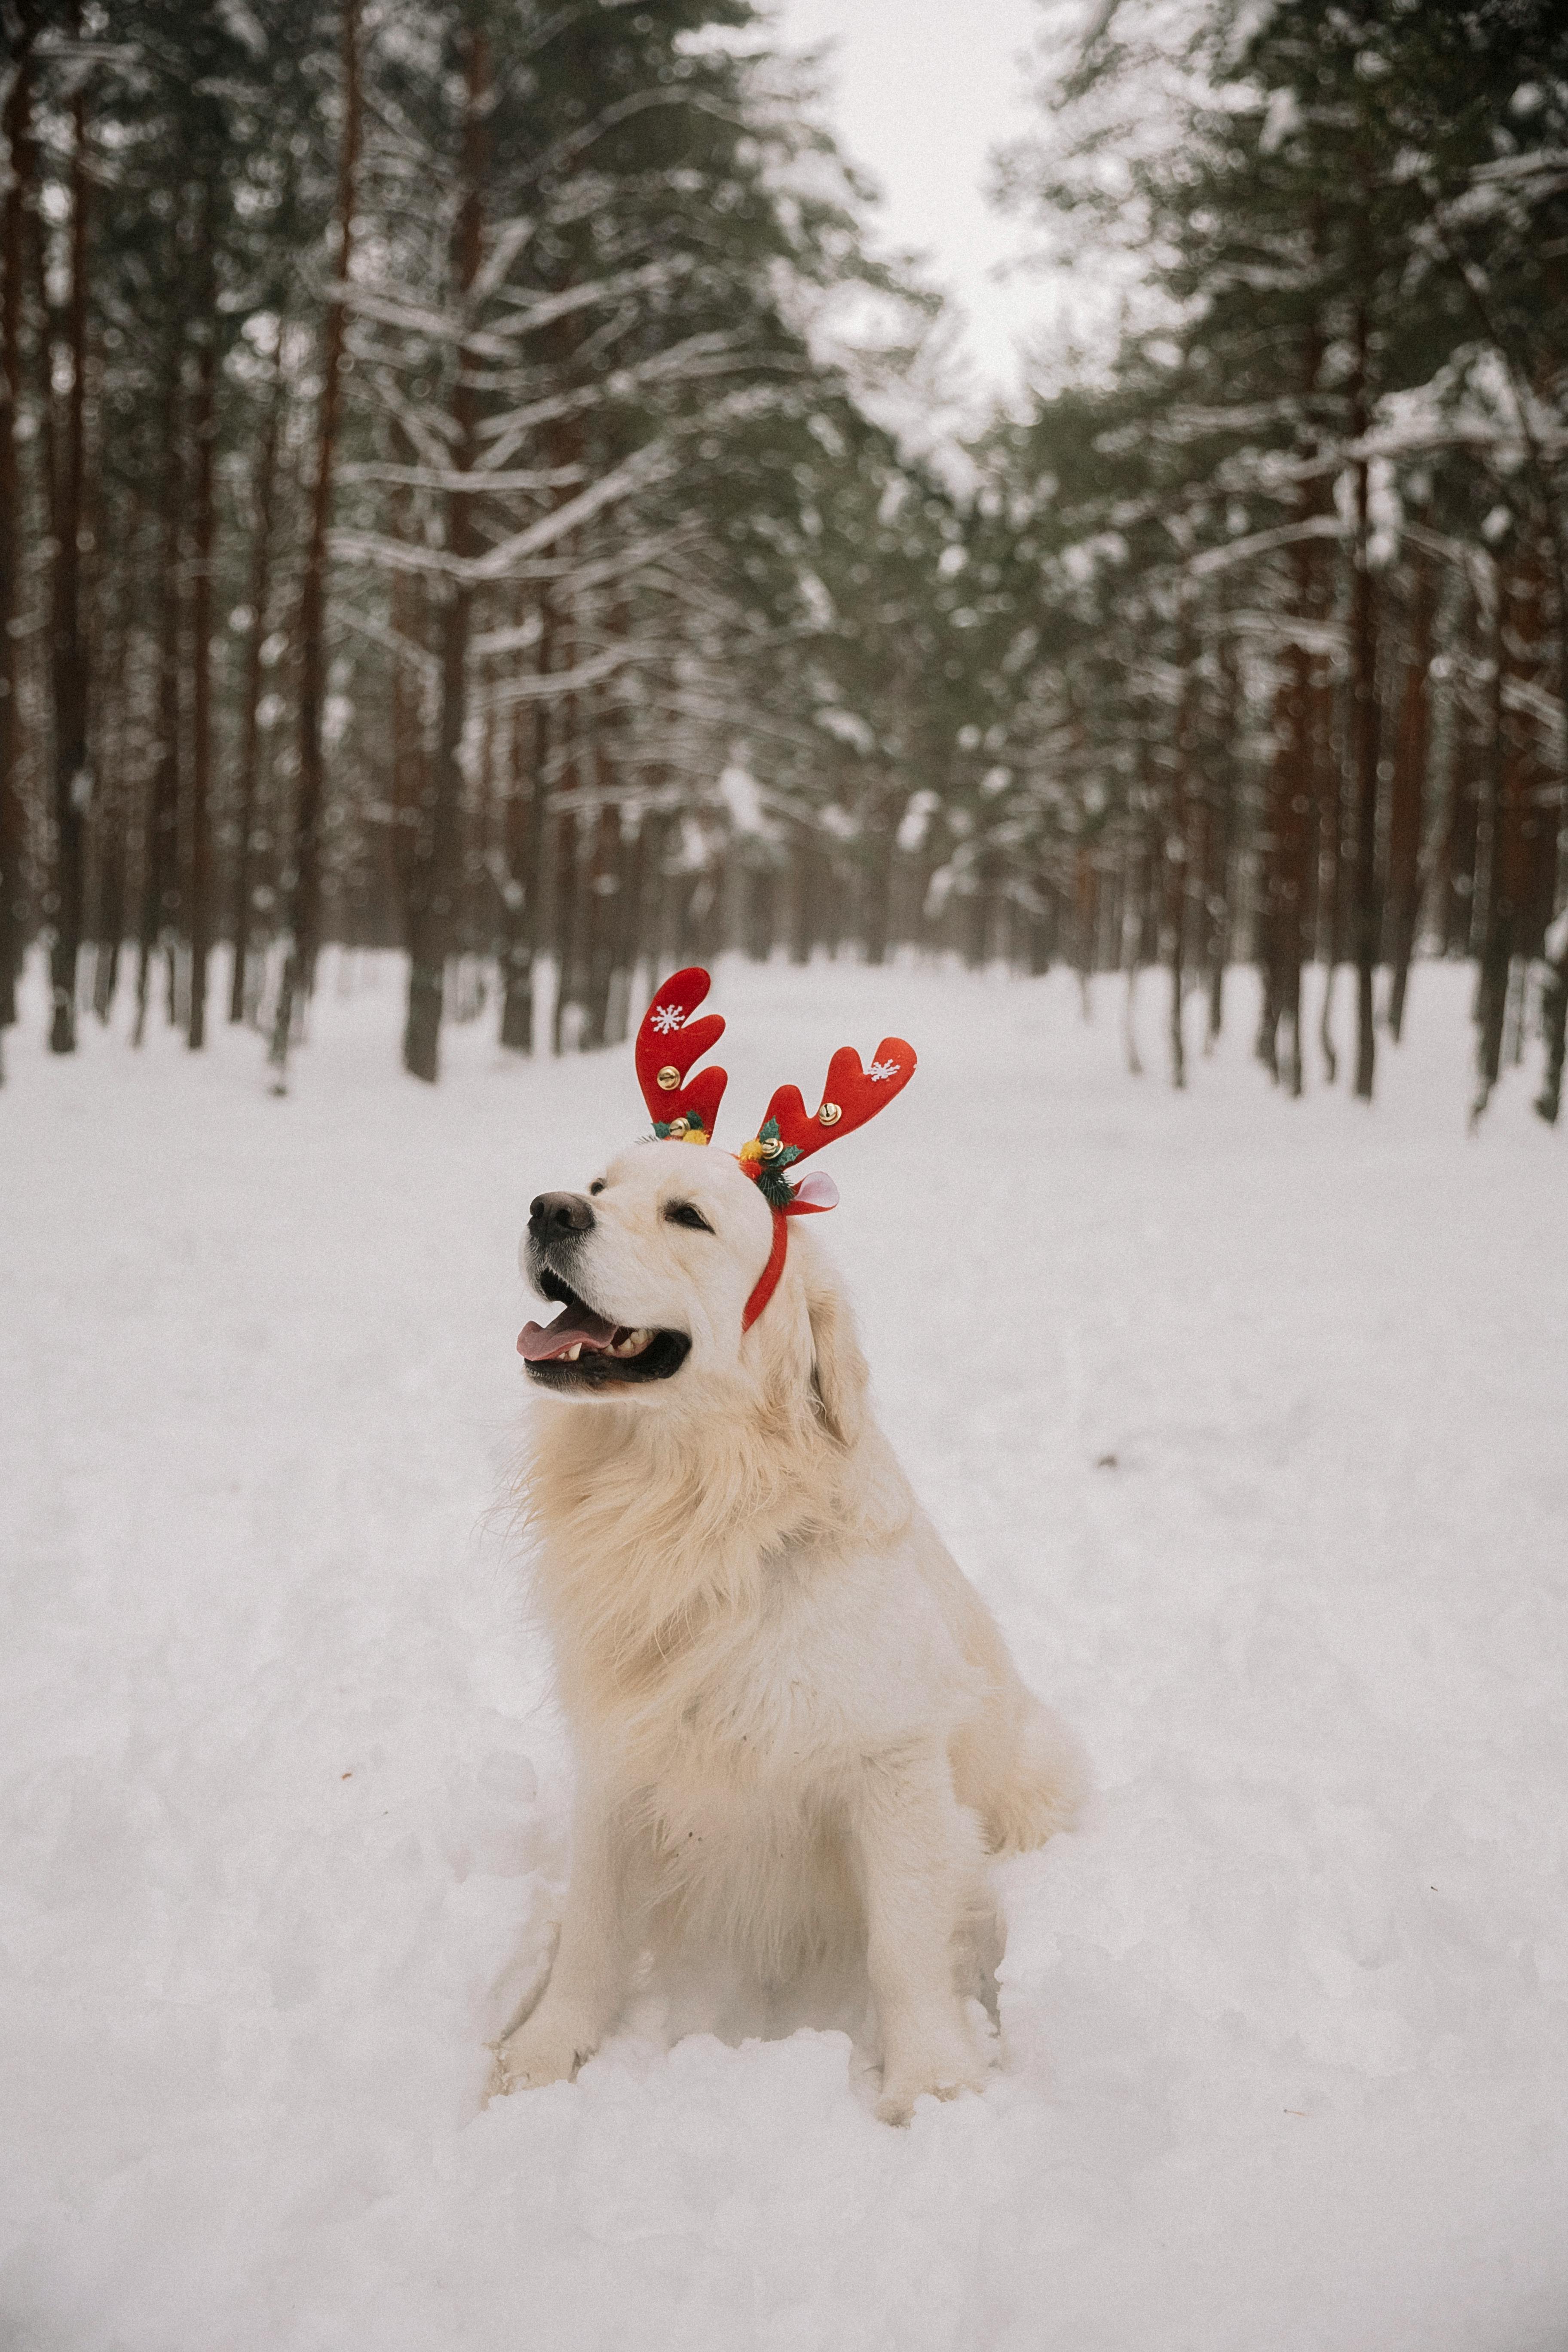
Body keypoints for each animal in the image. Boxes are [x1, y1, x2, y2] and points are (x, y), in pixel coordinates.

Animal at [496, 974, 1086, 2116]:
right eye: (599, 1183)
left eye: (688, 1215)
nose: (548, 1208)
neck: (698, 1505)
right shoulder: (620, 1757)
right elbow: (591, 1930)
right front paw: (546, 2051)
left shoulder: (890, 1763)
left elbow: (905, 1945)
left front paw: (934, 2083)